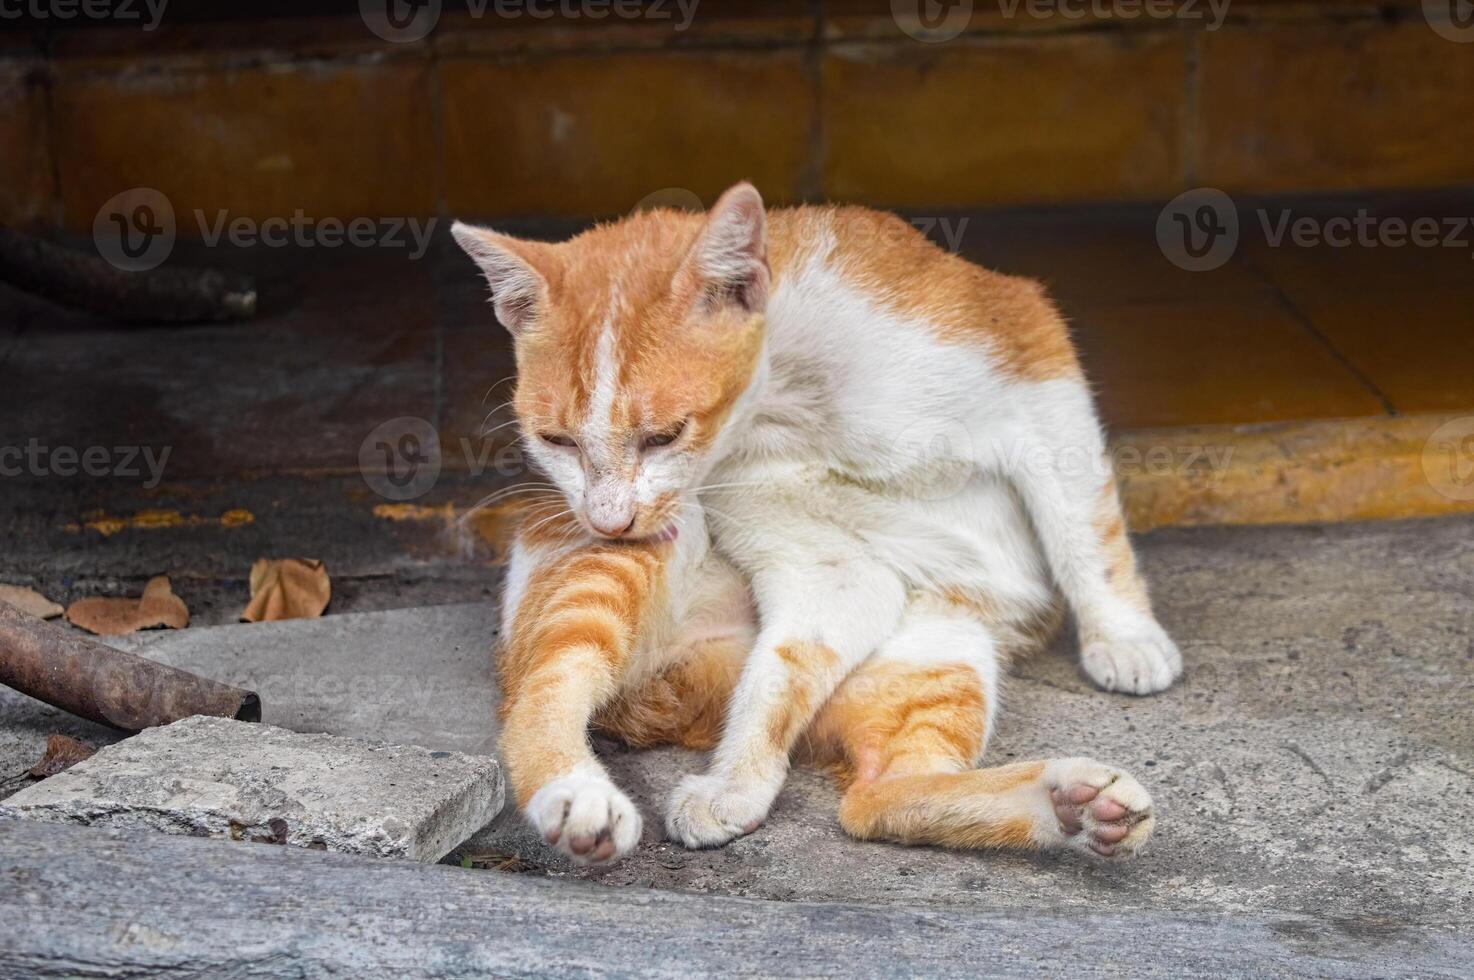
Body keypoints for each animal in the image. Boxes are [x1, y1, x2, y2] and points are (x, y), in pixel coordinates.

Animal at [453, 183, 1179, 866]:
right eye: (556, 441)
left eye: (665, 435)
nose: (609, 520)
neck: (788, 405)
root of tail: (671, 694)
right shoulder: (818, 560)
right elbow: (778, 672)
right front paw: (733, 782)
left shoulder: (1030, 361)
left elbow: (1083, 526)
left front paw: (1123, 635)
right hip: (628, 558)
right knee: (541, 693)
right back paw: (577, 799)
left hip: (937, 643)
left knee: (878, 796)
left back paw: (1076, 807)